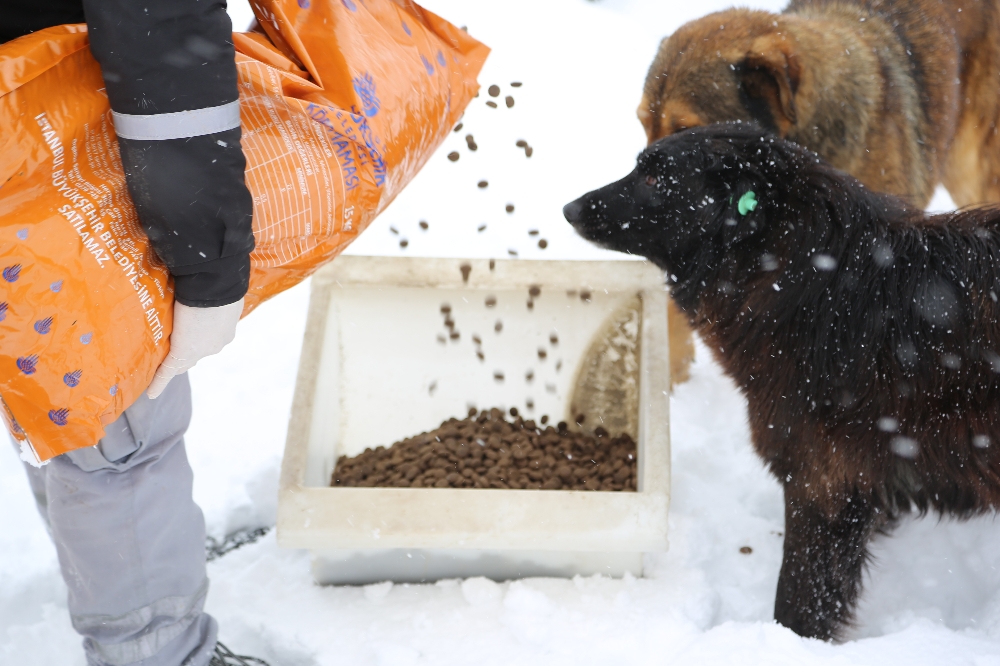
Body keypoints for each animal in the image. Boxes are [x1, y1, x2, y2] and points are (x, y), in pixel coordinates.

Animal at [568, 123, 1000, 640]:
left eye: (654, 178)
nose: (568, 209)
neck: (817, 280)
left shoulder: (821, 483)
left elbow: (798, 600)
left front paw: (786, 644)